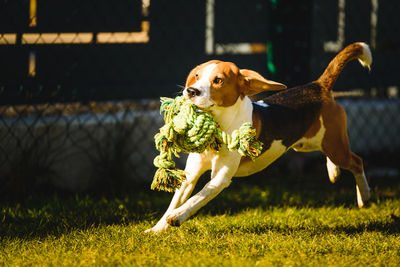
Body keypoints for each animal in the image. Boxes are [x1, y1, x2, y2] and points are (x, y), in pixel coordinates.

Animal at [146, 43, 372, 233]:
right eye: (196, 76)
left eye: (218, 80)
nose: (191, 91)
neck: (220, 124)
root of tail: (318, 85)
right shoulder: (191, 174)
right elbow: (174, 202)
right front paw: (156, 230)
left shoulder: (220, 178)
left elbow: (197, 198)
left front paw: (178, 216)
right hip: (308, 144)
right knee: (333, 157)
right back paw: (334, 172)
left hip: (334, 145)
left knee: (357, 162)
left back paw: (365, 197)